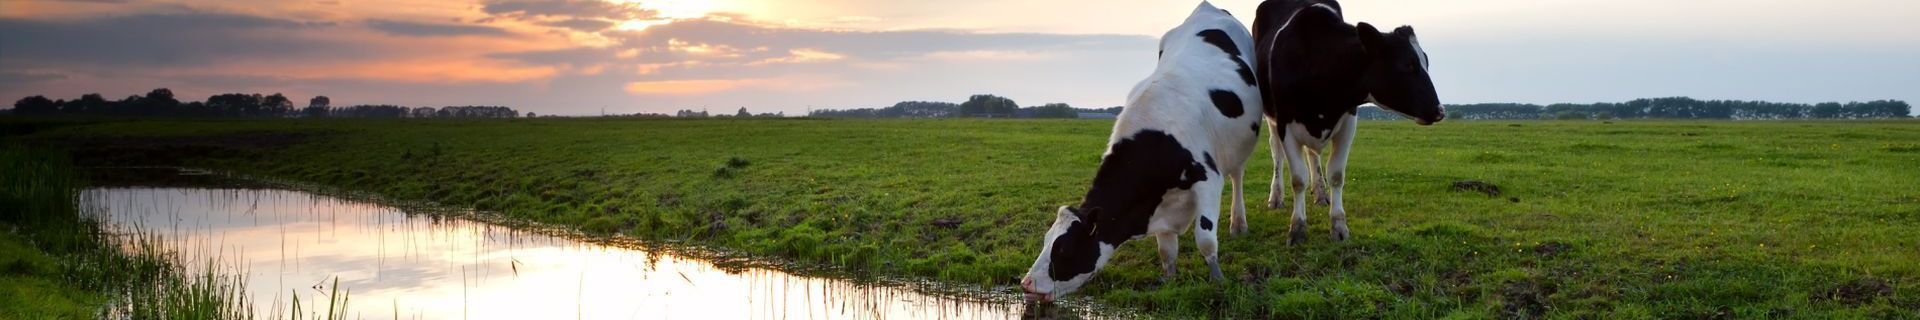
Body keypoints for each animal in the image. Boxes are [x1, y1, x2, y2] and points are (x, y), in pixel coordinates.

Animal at [1013, 1, 1267, 300]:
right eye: (1045, 241)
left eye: (1063, 248)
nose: (1027, 283)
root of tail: (1207, 8)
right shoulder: (1159, 205)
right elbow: (1166, 250)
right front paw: (1168, 280)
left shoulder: (1208, 179)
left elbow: (1205, 239)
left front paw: (1218, 280)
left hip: (1238, 146)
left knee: (1237, 175)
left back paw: (1238, 224)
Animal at [1251, 0, 1443, 243]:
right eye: (1408, 64)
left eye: (1426, 61)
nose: (1439, 110)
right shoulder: (1286, 123)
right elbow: (1298, 179)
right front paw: (1297, 228)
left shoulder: (1348, 122)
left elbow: (1336, 175)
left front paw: (1339, 225)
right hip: (1272, 118)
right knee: (1277, 153)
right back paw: (1276, 196)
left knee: (1312, 154)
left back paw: (1321, 193)